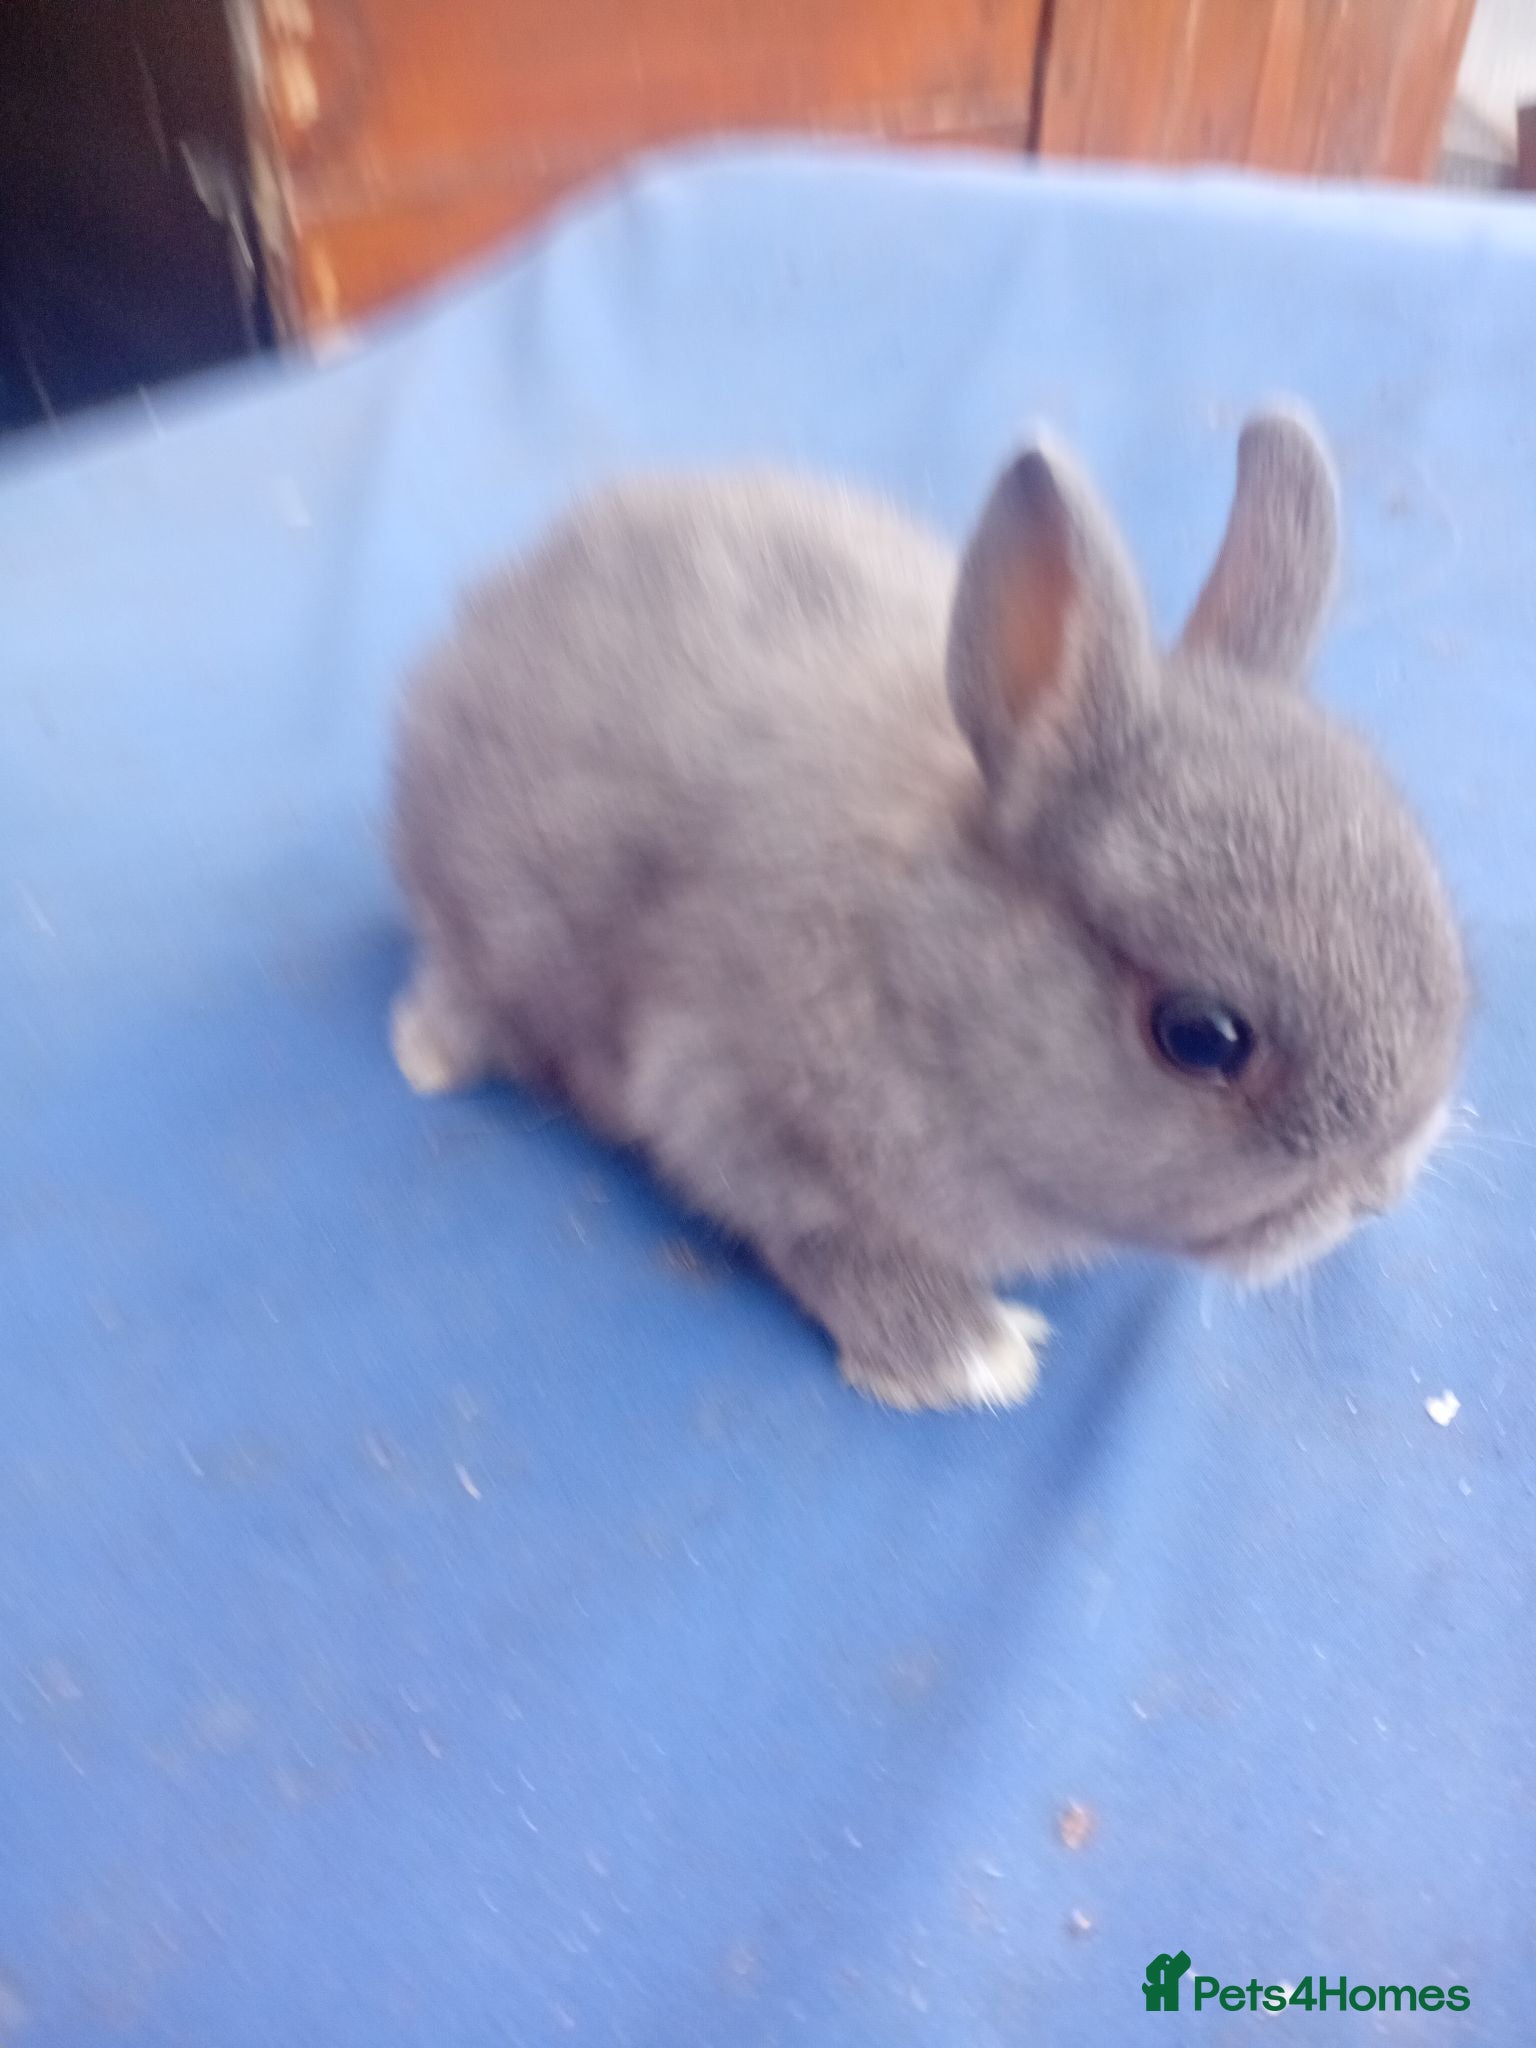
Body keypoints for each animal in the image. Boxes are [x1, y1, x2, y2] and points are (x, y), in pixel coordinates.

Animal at [389, 409, 1466, 1411]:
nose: (1379, 1187)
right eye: (1202, 1037)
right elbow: (826, 1239)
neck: (919, 970)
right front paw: (968, 1357)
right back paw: (428, 1054)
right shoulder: (732, 1111)